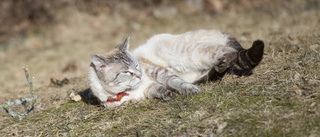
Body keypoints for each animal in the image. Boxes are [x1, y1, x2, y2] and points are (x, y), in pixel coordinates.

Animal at [87, 29, 262, 107]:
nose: (139, 75)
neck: (126, 92)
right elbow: (159, 90)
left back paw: (220, 65)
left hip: (188, 55)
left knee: (231, 51)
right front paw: (168, 95)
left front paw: (189, 91)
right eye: (125, 72)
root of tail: (220, 31)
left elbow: (176, 82)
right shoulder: (148, 89)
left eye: (136, 65)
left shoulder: (158, 72)